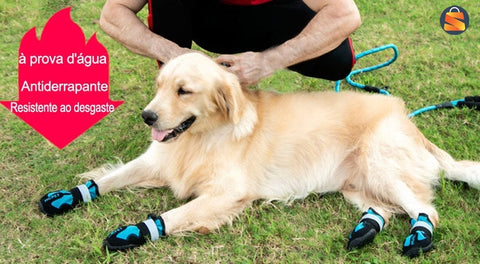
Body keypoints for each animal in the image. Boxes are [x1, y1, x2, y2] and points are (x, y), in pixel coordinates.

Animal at [38, 52, 480, 256]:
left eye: (184, 90)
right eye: (160, 85)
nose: (147, 116)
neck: (202, 136)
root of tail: (408, 119)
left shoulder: (226, 193)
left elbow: (173, 215)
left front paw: (133, 232)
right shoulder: (155, 160)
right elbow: (108, 178)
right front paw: (67, 197)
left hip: (378, 163)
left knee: (426, 210)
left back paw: (419, 237)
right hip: (356, 183)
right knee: (384, 209)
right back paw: (364, 229)